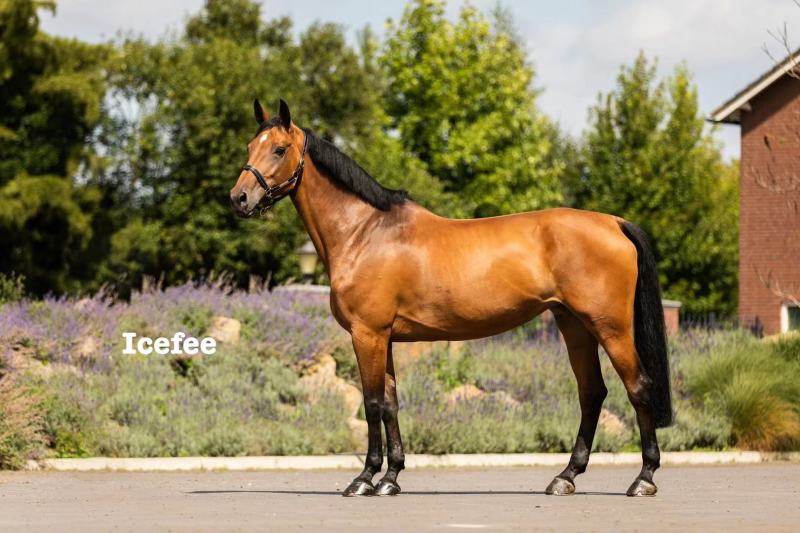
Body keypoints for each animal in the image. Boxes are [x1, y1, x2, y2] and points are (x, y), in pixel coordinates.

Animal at [230, 99, 672, 498]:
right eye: (250, 146)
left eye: (279, 149)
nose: (239, 198)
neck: (366, 232)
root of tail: (614, 222)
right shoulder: (384, 338)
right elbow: (390, 403)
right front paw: (391, 479)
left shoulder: (366, 334)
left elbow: (371, 403)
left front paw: (363, 480)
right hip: (573, 325)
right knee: (592, 393)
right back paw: (565, 477)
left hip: (611, 328)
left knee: (638, 387)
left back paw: (644, 479)